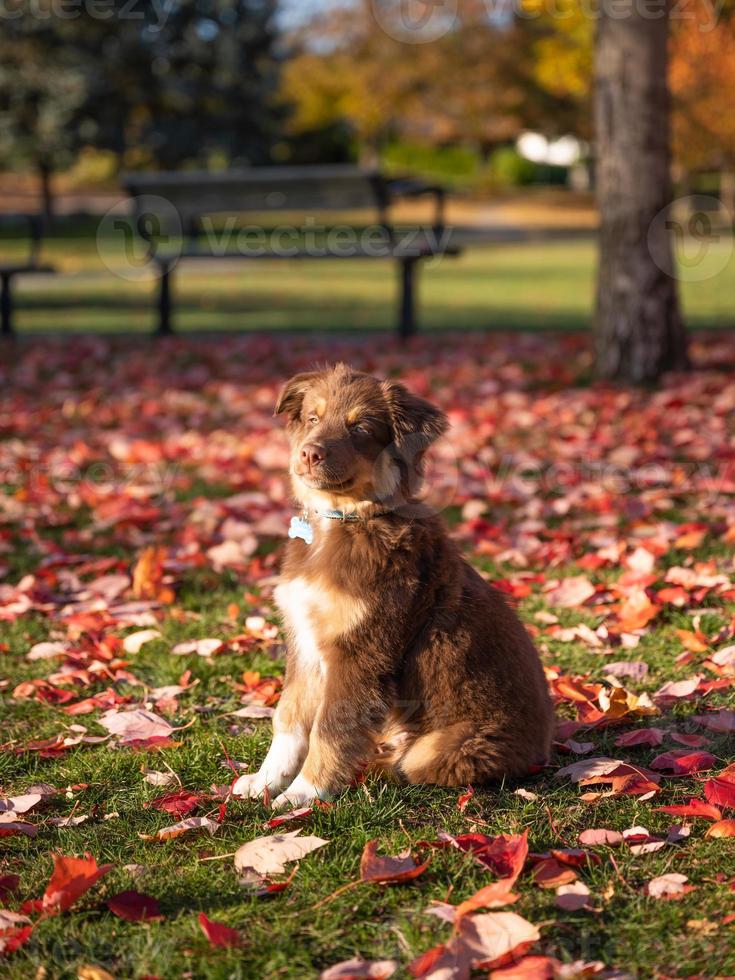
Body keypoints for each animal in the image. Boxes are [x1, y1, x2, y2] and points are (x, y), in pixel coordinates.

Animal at [234, 364, 552, 808]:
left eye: (361, 429)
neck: (344, 520)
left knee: (413, 763)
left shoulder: (362, 650)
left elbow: (331, 727)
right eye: (313, 418)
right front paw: (265, 781)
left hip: (451, 744)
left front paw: (303, 794)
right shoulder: (305, 641)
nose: (309, 453)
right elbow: (290, 717)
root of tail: (543, 746)